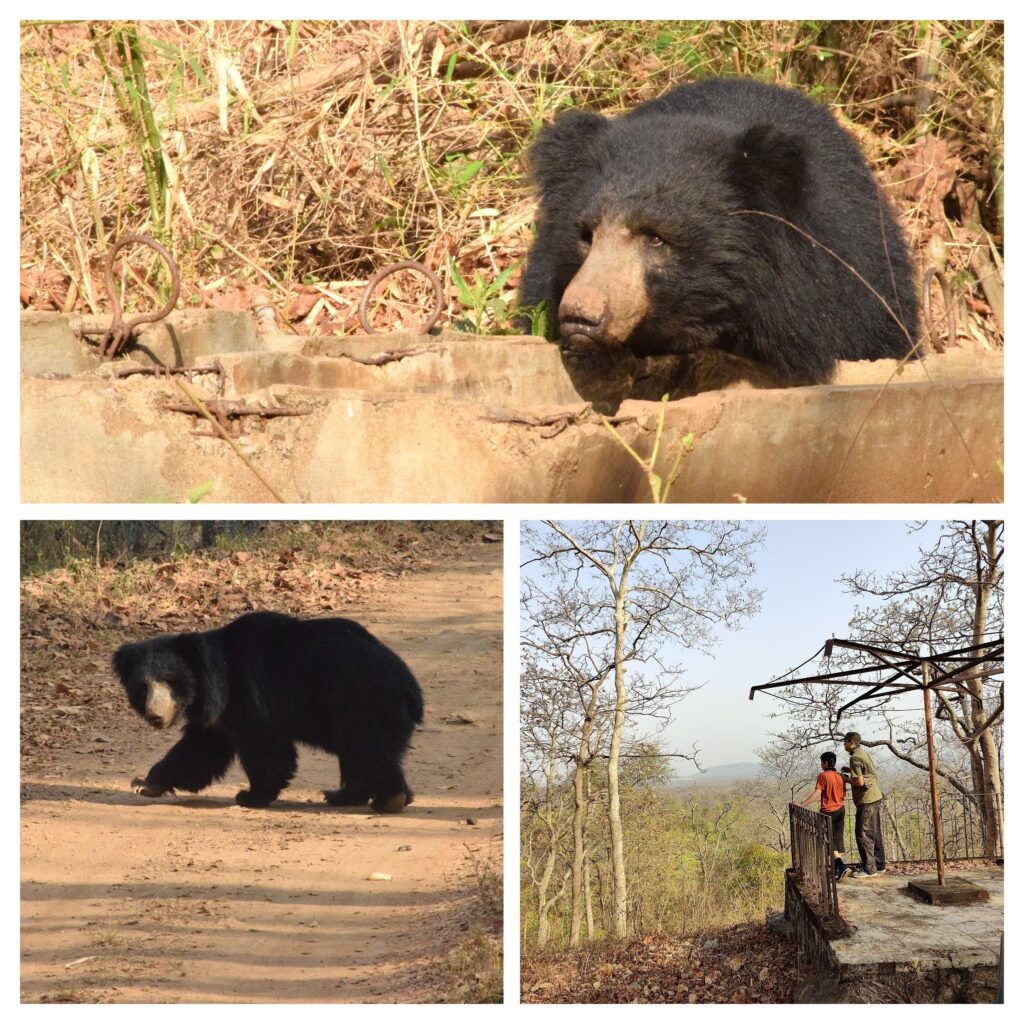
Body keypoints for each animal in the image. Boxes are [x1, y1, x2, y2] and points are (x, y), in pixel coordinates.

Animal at [115, 610, 423, 811]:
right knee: (360, 754)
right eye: (143, 686)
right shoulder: (218, 716)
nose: (155, 716)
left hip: (361, 703)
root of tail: (409, 686)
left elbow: (264, 746)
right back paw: (347, 795)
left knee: (369, 750)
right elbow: (199, 750)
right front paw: (145, 783)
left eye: (169, 681)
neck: (212, 680)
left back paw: (387, 799)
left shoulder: (248, 694)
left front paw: (251, 795)